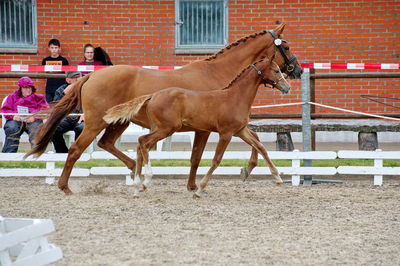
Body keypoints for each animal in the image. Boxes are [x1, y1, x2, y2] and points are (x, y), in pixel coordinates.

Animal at [104, 56, 290, 197]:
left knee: (140, 145)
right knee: (143, 141)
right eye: (276, 70)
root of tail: (152, 96)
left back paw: (137, 186)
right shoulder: (226, 133)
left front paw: (278, 178)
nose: (287, 87)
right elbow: (216, 159)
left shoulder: (240, 131)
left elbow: (261, 147)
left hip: (159, 128)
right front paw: (200, 189)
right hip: (166, 128)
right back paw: (146, 181)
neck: (235, 97)